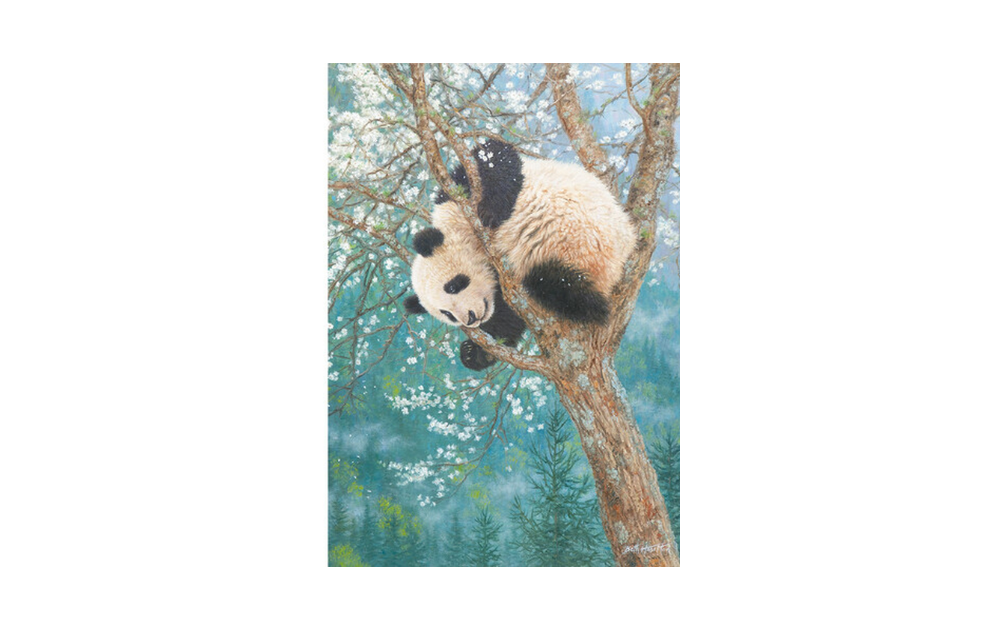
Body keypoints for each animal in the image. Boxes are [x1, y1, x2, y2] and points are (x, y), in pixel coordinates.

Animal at [403, 139, 637, 370]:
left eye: (453, 286)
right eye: (447, 314)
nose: (471, 319)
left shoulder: (457, 200)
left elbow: (493, 158)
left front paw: (491, 211)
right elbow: (508, 317)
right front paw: (474, 353)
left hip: (593, 242)